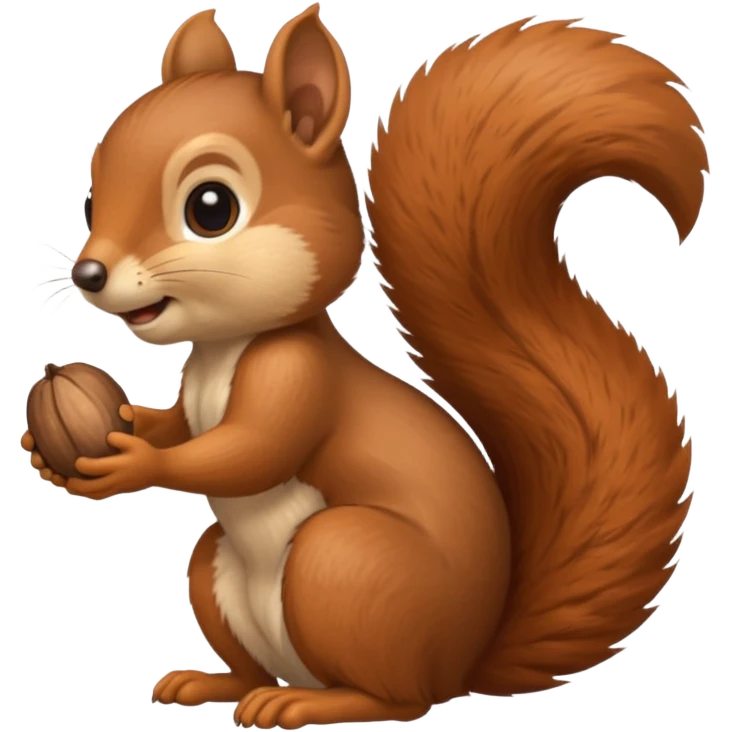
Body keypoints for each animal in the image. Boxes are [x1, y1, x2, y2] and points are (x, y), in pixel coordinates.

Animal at [21, 4, 705, 729]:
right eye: (90, 202)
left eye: (211, 208)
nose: (89, 274)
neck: (227, 345)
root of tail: (463, 662)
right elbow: (179, 425)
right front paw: (80, 439)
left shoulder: (297, 375)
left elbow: (251, 450)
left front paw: (133, 463)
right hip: (216, 570)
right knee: (253, 654)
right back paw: (217, 684)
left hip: (343, 563)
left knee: (399, 700)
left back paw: (306, 704)